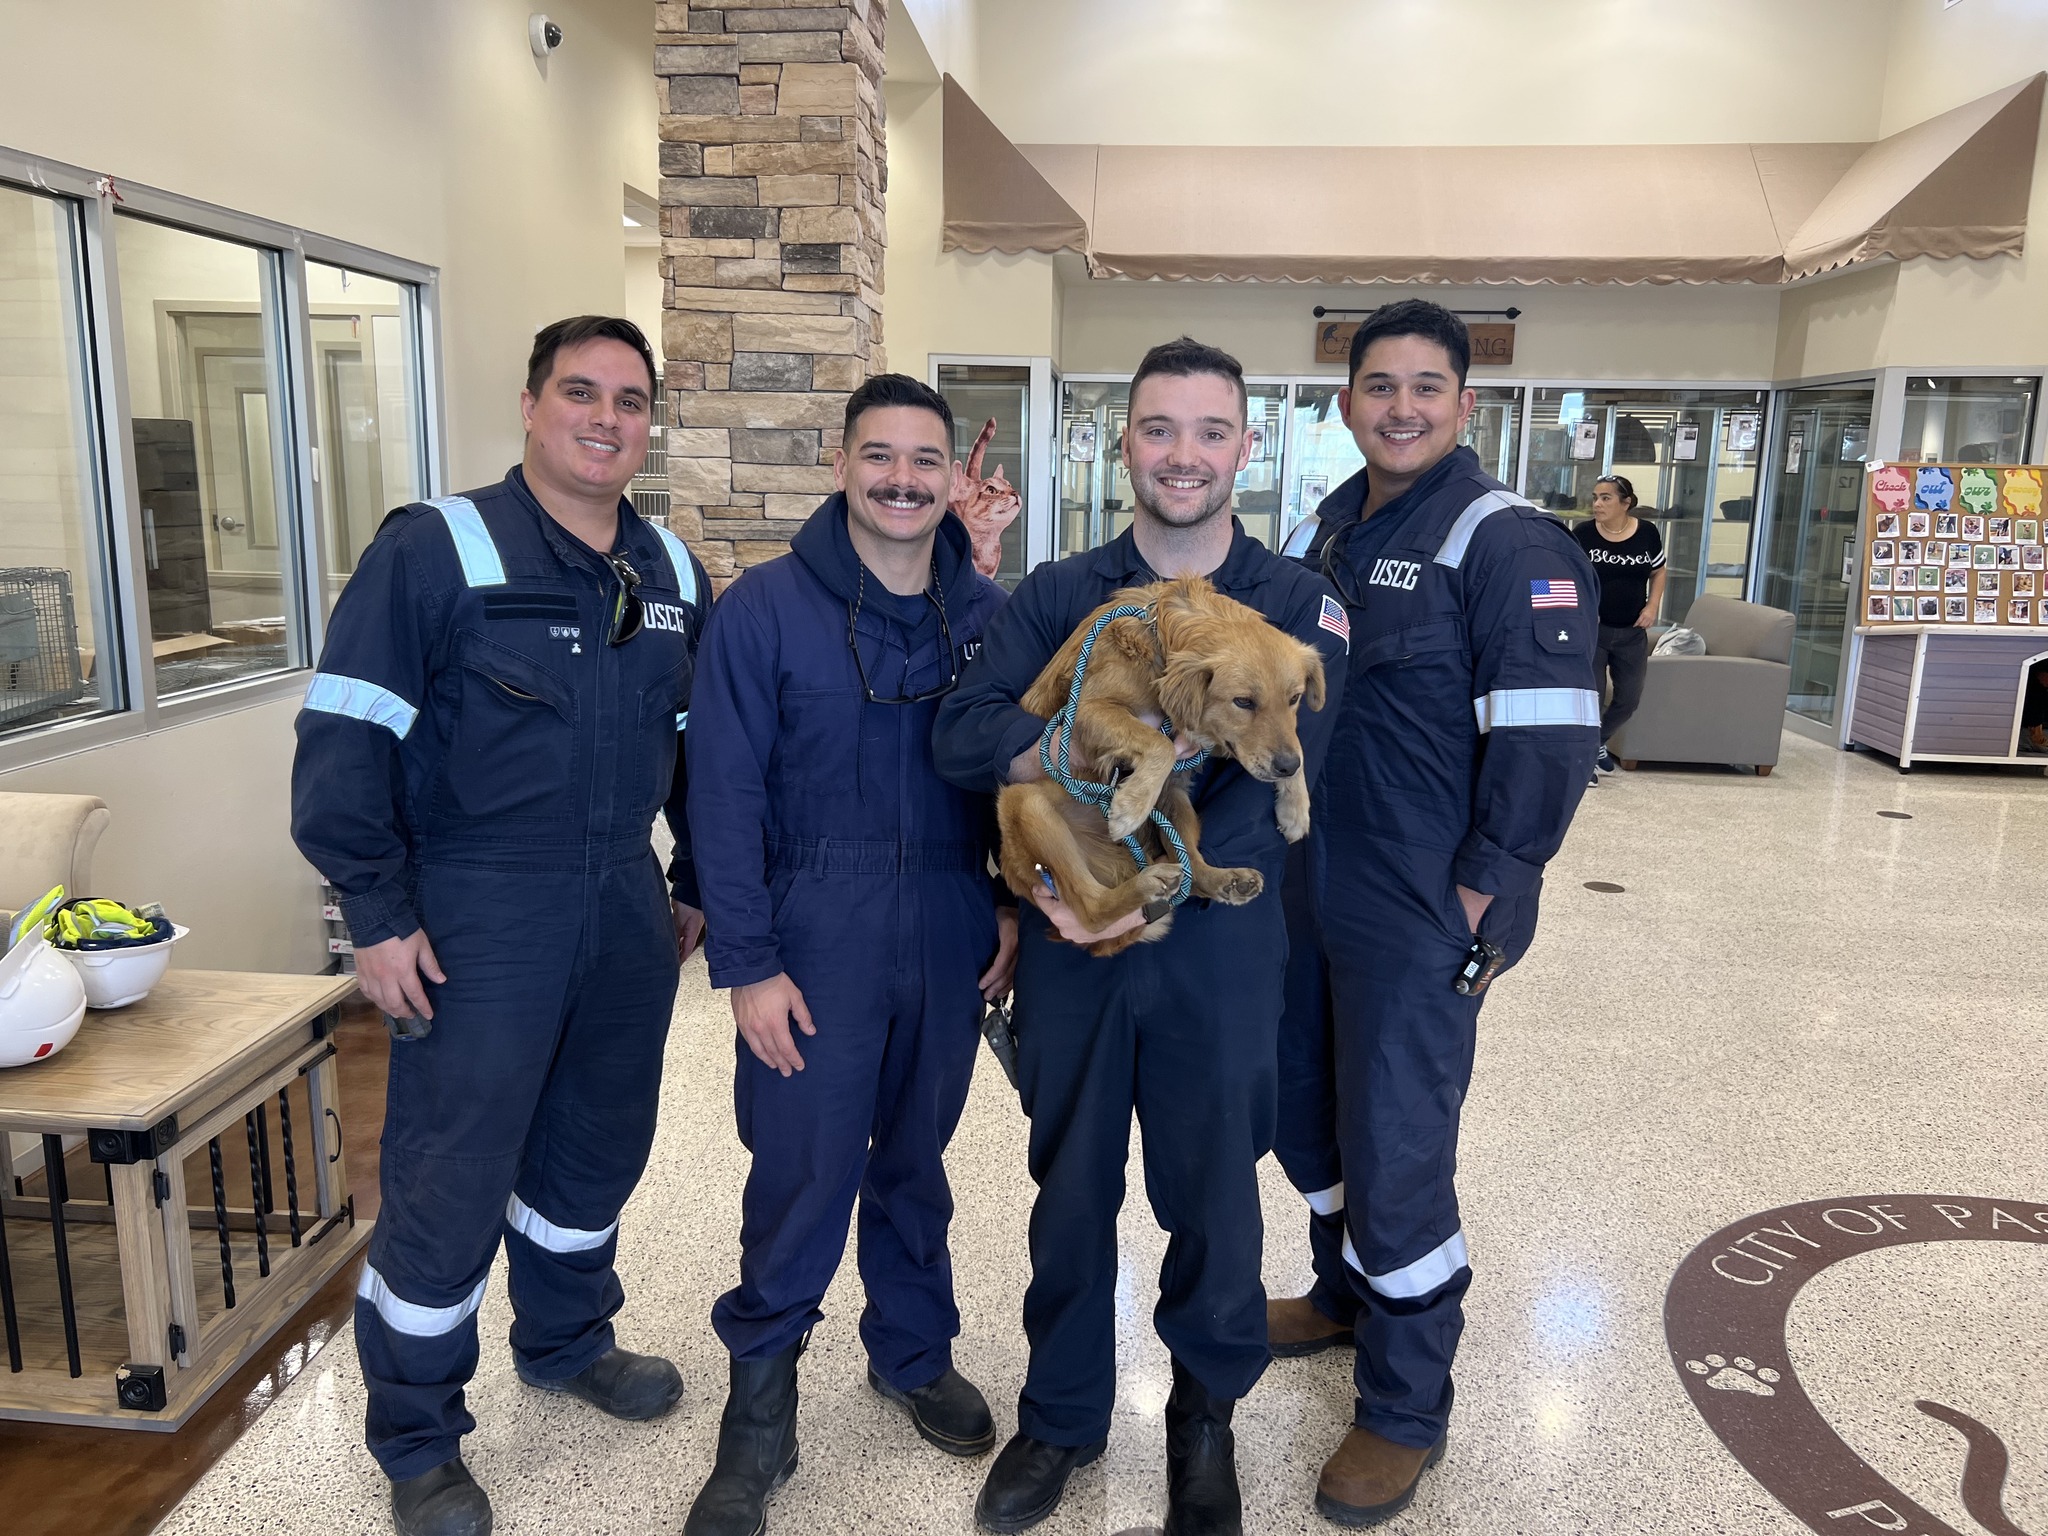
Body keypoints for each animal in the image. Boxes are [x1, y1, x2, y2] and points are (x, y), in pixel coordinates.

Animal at [995, 581, 1318, 958]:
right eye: (1243, 702)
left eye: (1294, 699)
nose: (1285, 768)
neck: (1160, 638)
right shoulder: (1086, 711)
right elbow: (1159, 743)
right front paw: (1131, 807)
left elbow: (1297, 744)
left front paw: (1296, 809)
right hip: (1025, 802)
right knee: (1091, 910)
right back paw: (1147, 883)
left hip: (1175, 801)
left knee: (1192, 870)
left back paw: (1225, 880)